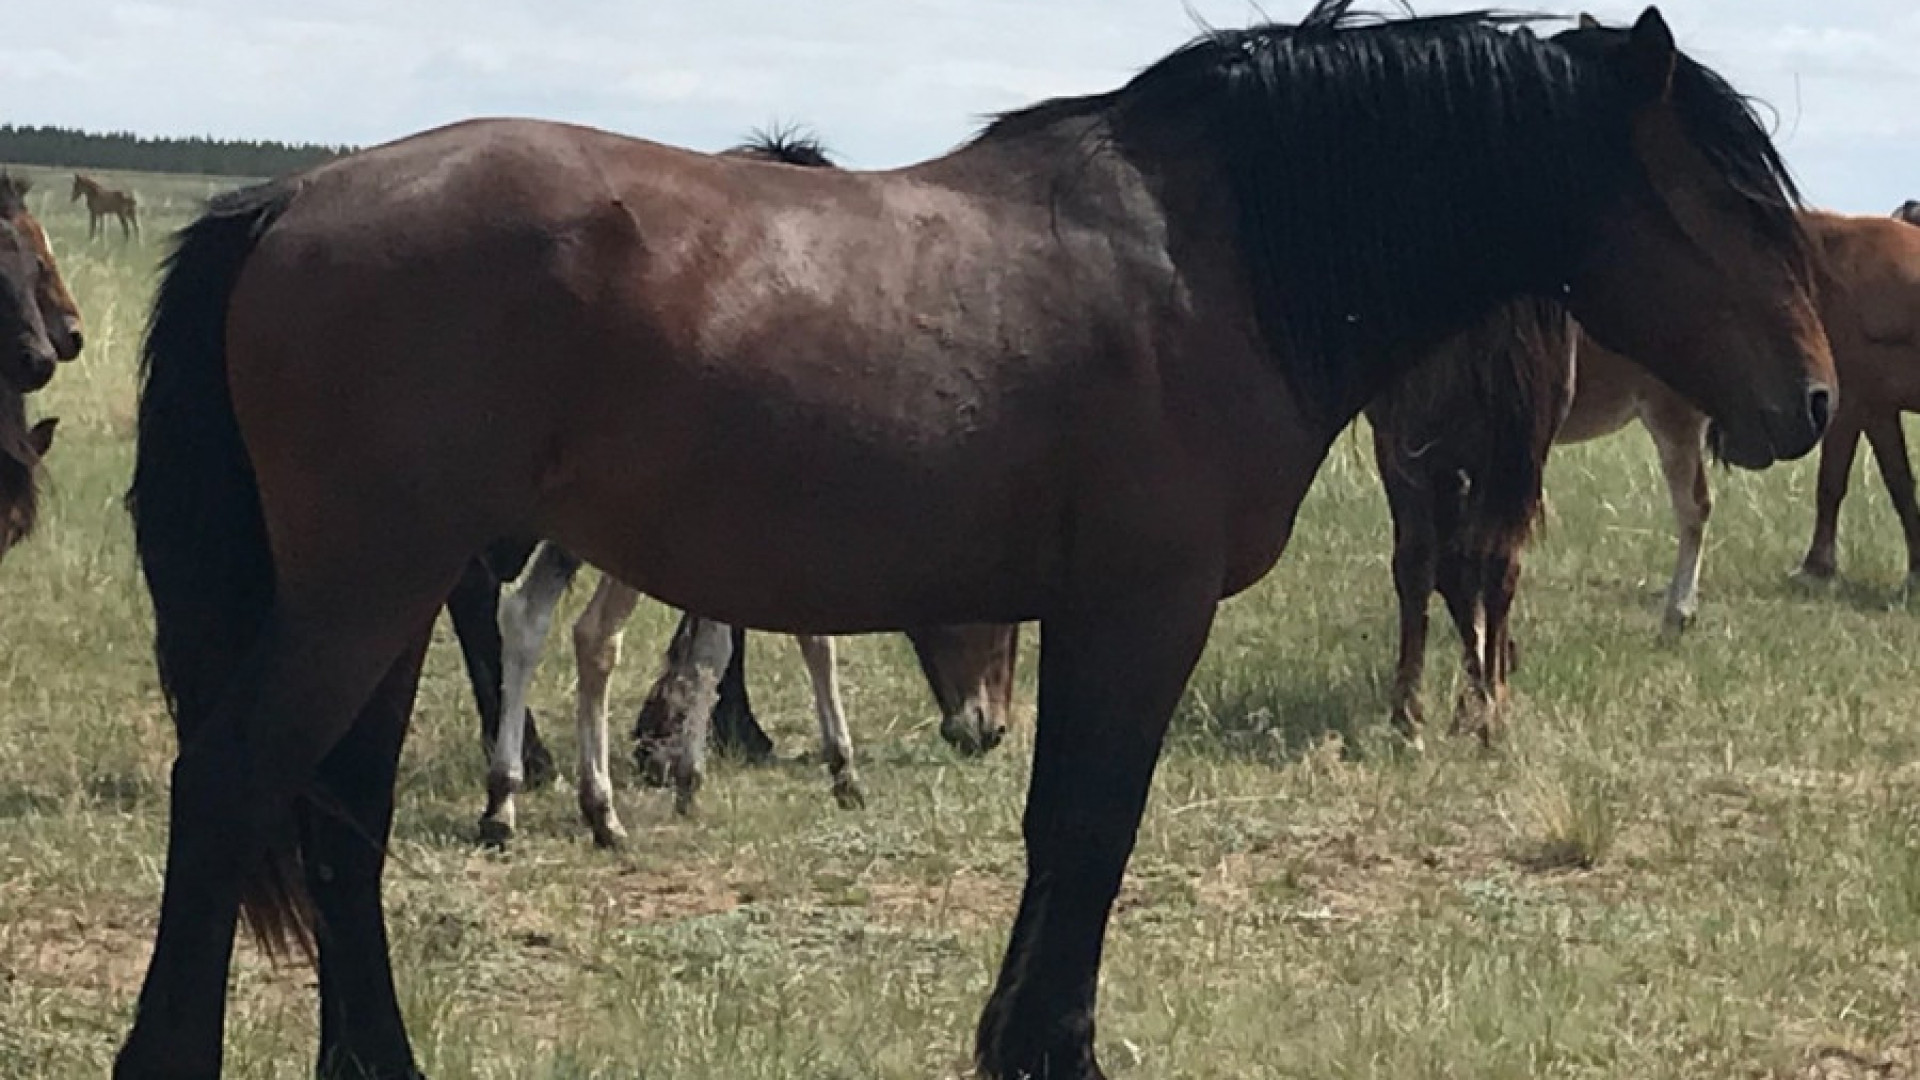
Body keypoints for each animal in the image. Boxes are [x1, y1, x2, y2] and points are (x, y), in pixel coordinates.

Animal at [116, 10, 1827, 1076]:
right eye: (1739, 205)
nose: (1807, 402)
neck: (1216, 258)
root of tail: (291, 203)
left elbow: (1062, 837)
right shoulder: (1142, 613)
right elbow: (1089, 835)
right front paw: (1049, 1049)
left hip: (393, 598)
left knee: (337, 823)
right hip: (369, 587)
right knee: (233, 788)